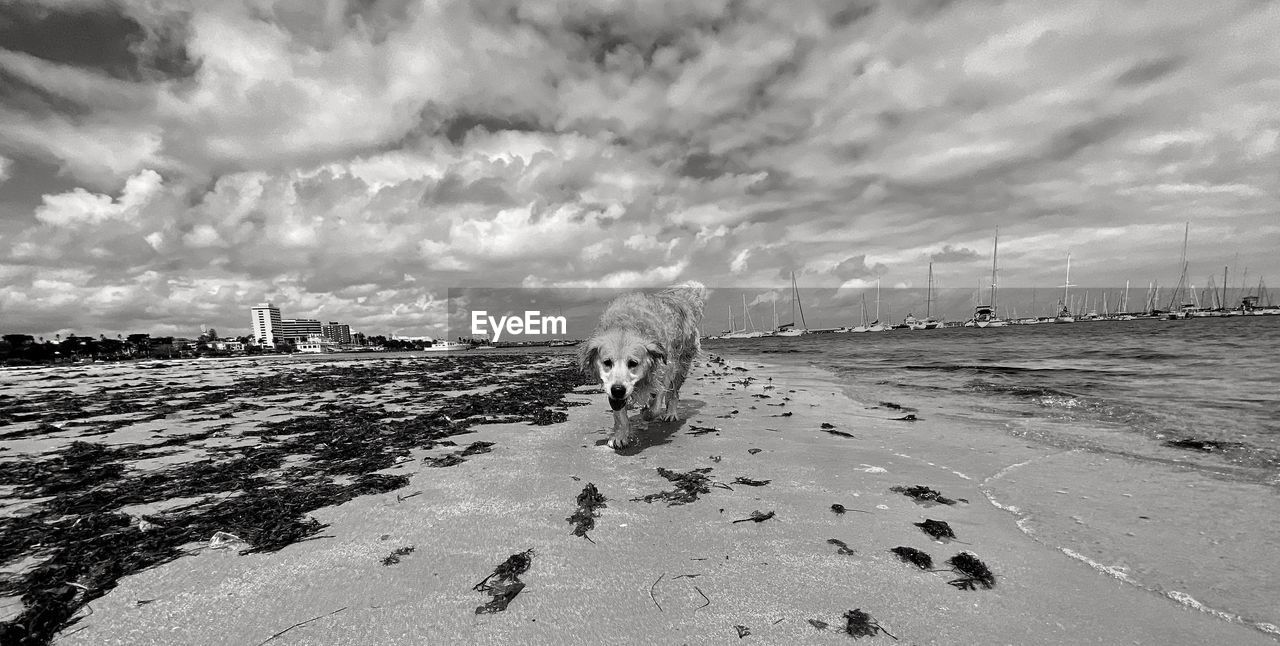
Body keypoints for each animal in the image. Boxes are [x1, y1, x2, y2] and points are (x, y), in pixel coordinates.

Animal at [583, 280, 711, 450]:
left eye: (633, 363)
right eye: (607, 362)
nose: (618, 390)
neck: (627, 324)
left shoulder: (665, 371)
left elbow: (656, 405)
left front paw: (647, 413)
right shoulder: (612, 390)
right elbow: (620, 414)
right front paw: (620, 436)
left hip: (681, 366)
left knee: (673, 394)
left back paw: (670, 413)